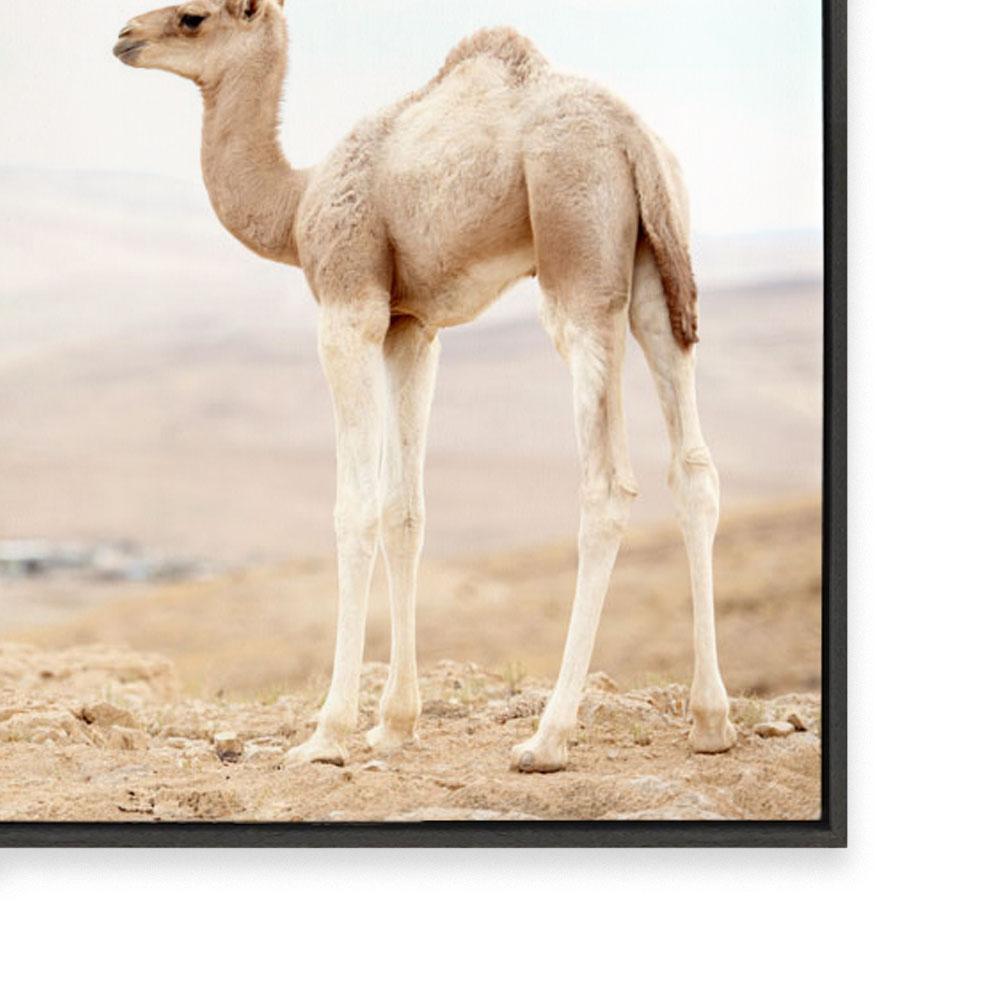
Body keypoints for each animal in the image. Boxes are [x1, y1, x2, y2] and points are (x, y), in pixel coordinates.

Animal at [113, 0, 736, 772]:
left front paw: (327, 734)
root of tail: (634, 138)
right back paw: (710, 722)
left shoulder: (348, 303)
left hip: (578, 258)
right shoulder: (411, 326)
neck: (297, 202)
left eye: (192, 18)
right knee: (693, 470)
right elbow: (403, 512)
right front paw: (394, 724)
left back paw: (548, 737)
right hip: (658, 268)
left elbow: (353, 511)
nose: (125, 37)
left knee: (607, 483)